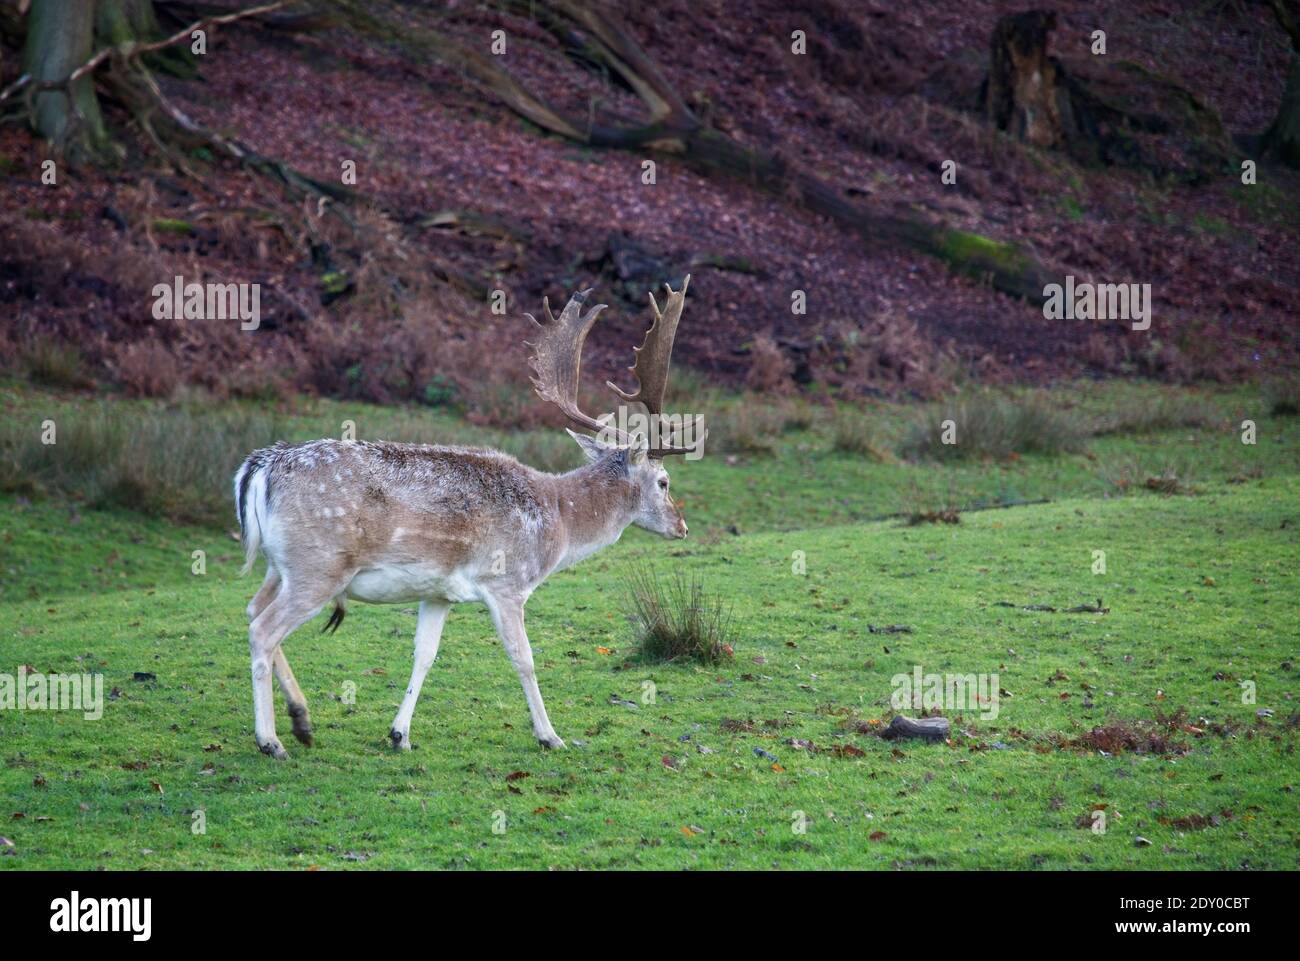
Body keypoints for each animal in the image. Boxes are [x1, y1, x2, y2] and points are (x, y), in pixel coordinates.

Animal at [232, 275, 702, 759]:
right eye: (664, 481)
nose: (682, 526)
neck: (557, 520)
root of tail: (260, 468)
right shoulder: (506, 582)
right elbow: (524, 658)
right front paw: (549, 735)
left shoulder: (439, 592)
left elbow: (425, 654)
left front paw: (399, 734)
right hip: (319, 565)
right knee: (263, 630)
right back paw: (271, 741)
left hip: (280, 565)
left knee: (251, 610)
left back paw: (302, 721)